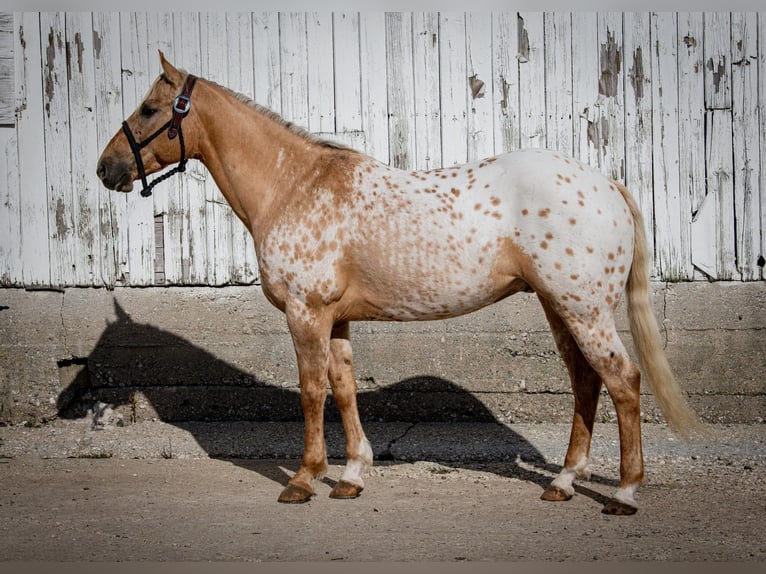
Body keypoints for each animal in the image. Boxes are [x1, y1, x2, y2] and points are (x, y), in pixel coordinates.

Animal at [94, 51, 704, 516]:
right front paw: (350, 476)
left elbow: (312, 392)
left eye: (150, 109)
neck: (294, 183)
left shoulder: (305, 314)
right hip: (561, 308)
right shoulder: (335, 319)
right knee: (586, 383)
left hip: (584, 309)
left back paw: (623, 493)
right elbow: (342, 389)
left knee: (623, 380)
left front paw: (303, 479)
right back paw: (563, 483)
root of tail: (604, 181)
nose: (106, 168)